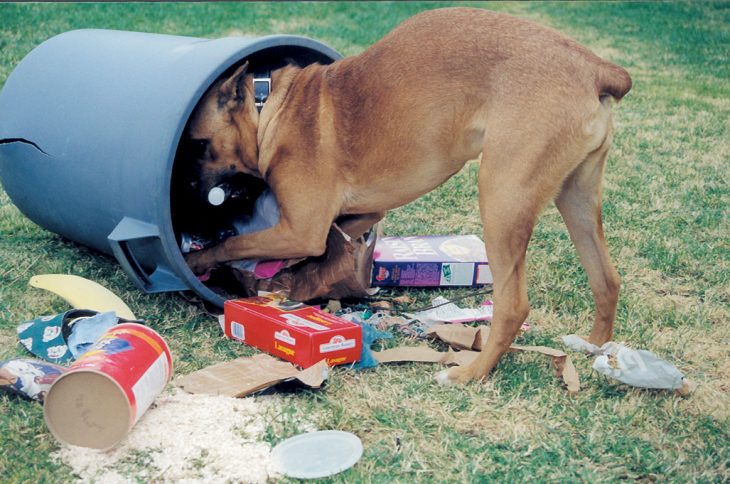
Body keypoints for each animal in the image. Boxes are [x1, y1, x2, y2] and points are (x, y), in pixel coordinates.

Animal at [185, 7, 628, 384]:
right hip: (576, 199)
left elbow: (233, 244)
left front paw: (197, 261)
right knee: (607, 279)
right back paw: (592, 346)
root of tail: (596, 67)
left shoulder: (298, 230)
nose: (190, 204)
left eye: (198, 146)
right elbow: (326, 248)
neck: (271, 108)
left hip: (502, 199)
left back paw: (470, 373)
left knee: (514, 305)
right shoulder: (357, 217)